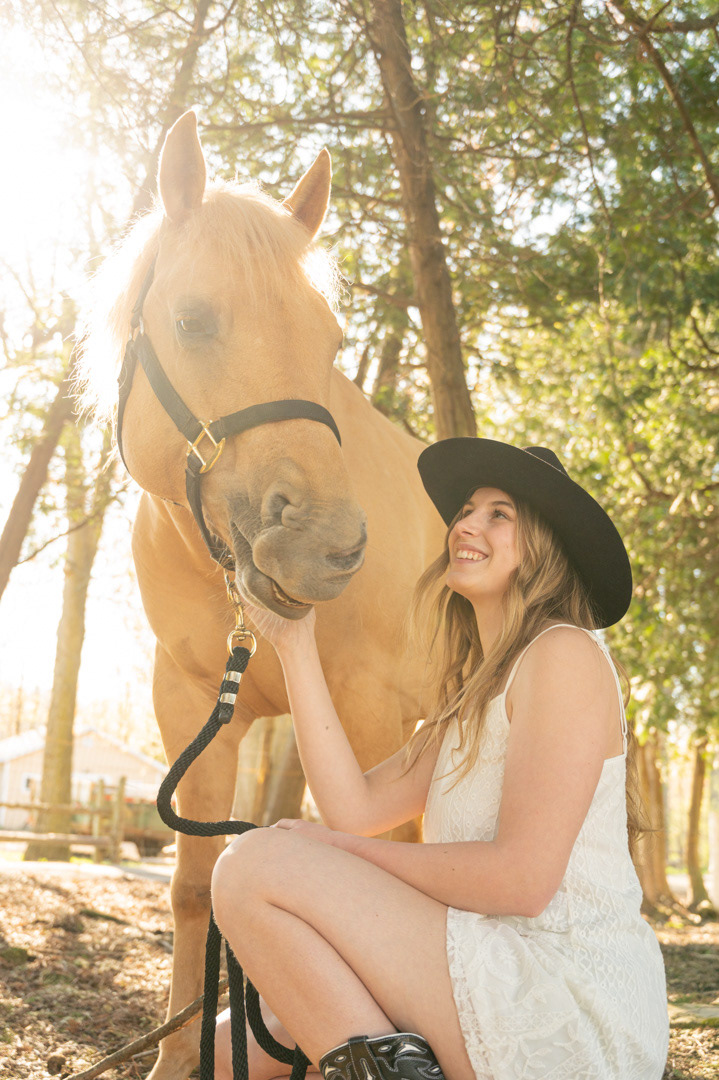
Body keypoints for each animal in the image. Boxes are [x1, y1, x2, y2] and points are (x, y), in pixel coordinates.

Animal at [80, 111, 444, 1080]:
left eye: (331, 338)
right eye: (192, 320)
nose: (328, 545)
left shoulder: (365, 709)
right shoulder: (192, 705)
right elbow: (195, 885)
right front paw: (180, 1058)